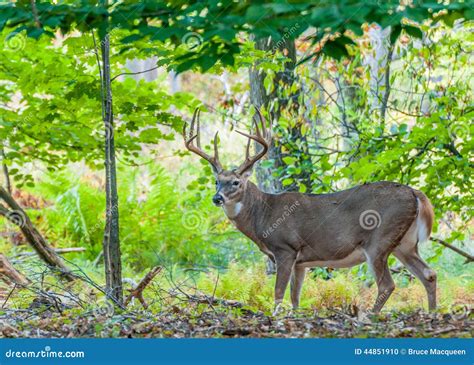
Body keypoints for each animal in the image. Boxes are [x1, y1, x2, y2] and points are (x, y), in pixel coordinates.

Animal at [183, 108, 436, 312]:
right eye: (217, 181)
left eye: (236, 182)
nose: (217, 198)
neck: (262, 215)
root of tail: (415, 193)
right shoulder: (301, 262)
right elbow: (295, 298)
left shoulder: (285, 248)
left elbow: (278, 295)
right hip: (404, 243)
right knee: (429, 274)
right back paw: (432, 313)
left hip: (379, 240)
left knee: (387, 285)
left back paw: (371, 317)